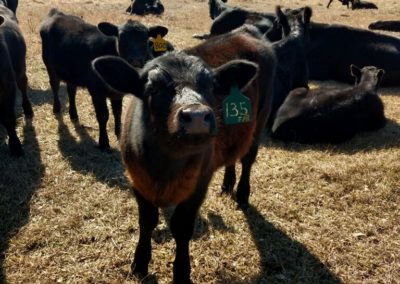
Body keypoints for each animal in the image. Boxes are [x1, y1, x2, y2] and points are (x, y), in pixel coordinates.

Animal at [40, 7, 170, 151]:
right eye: (121, 38)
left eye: (146, 39)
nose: (136, 60)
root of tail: (57, 14)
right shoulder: (96, 91)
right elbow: (103, 115)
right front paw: (104, 143)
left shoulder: (117, 94)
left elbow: (117, 113)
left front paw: (119, 133)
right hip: (50, 66)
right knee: (54, 85)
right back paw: (57, 109)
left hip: (71, 72)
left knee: (71, 90)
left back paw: (73, 114)